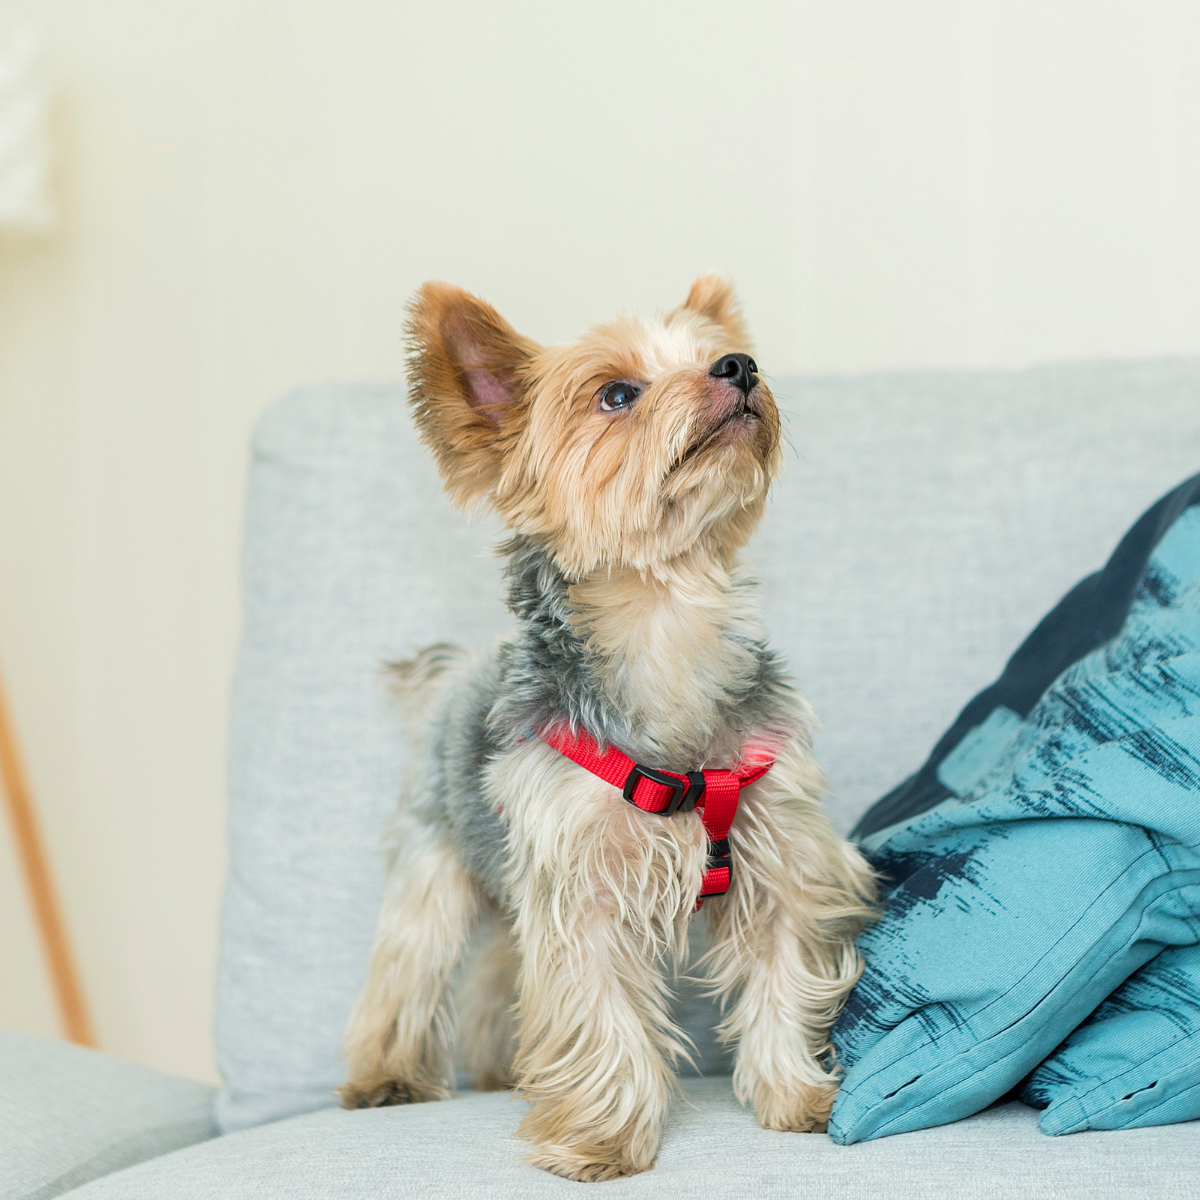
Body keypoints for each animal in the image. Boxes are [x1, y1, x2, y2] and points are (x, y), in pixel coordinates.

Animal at [343, 278, 878, 1180]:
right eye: (617, 394)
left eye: (715, 355)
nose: (741, 367)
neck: (664, 623)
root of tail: (453, 672)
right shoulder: (579, 876)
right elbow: (596, 1009)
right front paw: (602, 1139)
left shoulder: (778, 852)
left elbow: (783, 971)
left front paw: (795, 1097)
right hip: (436, 856)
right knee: (410, 966)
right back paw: (386, 1077)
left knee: (498, 971)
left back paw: (502, 1067)